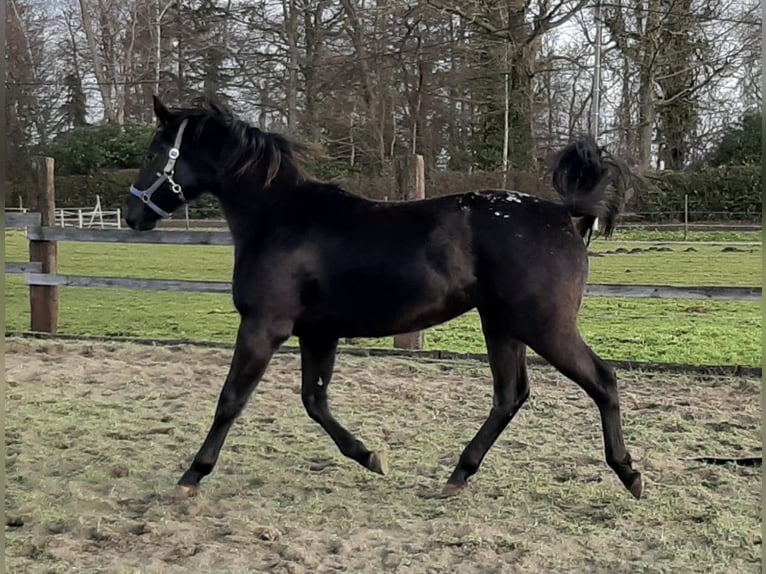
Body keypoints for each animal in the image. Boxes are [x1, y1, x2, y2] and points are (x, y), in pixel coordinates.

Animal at [129, 97, 644, 502]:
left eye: (155, 151)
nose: (134, 213)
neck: (279, 220)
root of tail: (563, 213)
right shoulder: (318, 333)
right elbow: (314, 401)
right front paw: (371, 456)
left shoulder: (263, 326)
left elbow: (231, 399)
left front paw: (191, 475)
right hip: (501, 325)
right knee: (509, 394)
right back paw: (457, 476)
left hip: (544, 326)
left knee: (602, 381)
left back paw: (630, 474)